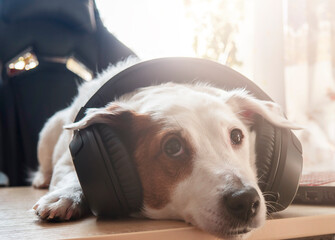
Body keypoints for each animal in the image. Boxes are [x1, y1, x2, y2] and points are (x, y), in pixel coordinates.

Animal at [31, 59, 300, 238]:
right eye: (172, 147)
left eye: (236, 135)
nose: (245, 201)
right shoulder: (66, 161)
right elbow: (72, 176)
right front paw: (65, 195)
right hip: (47, 133)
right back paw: (40, 179)